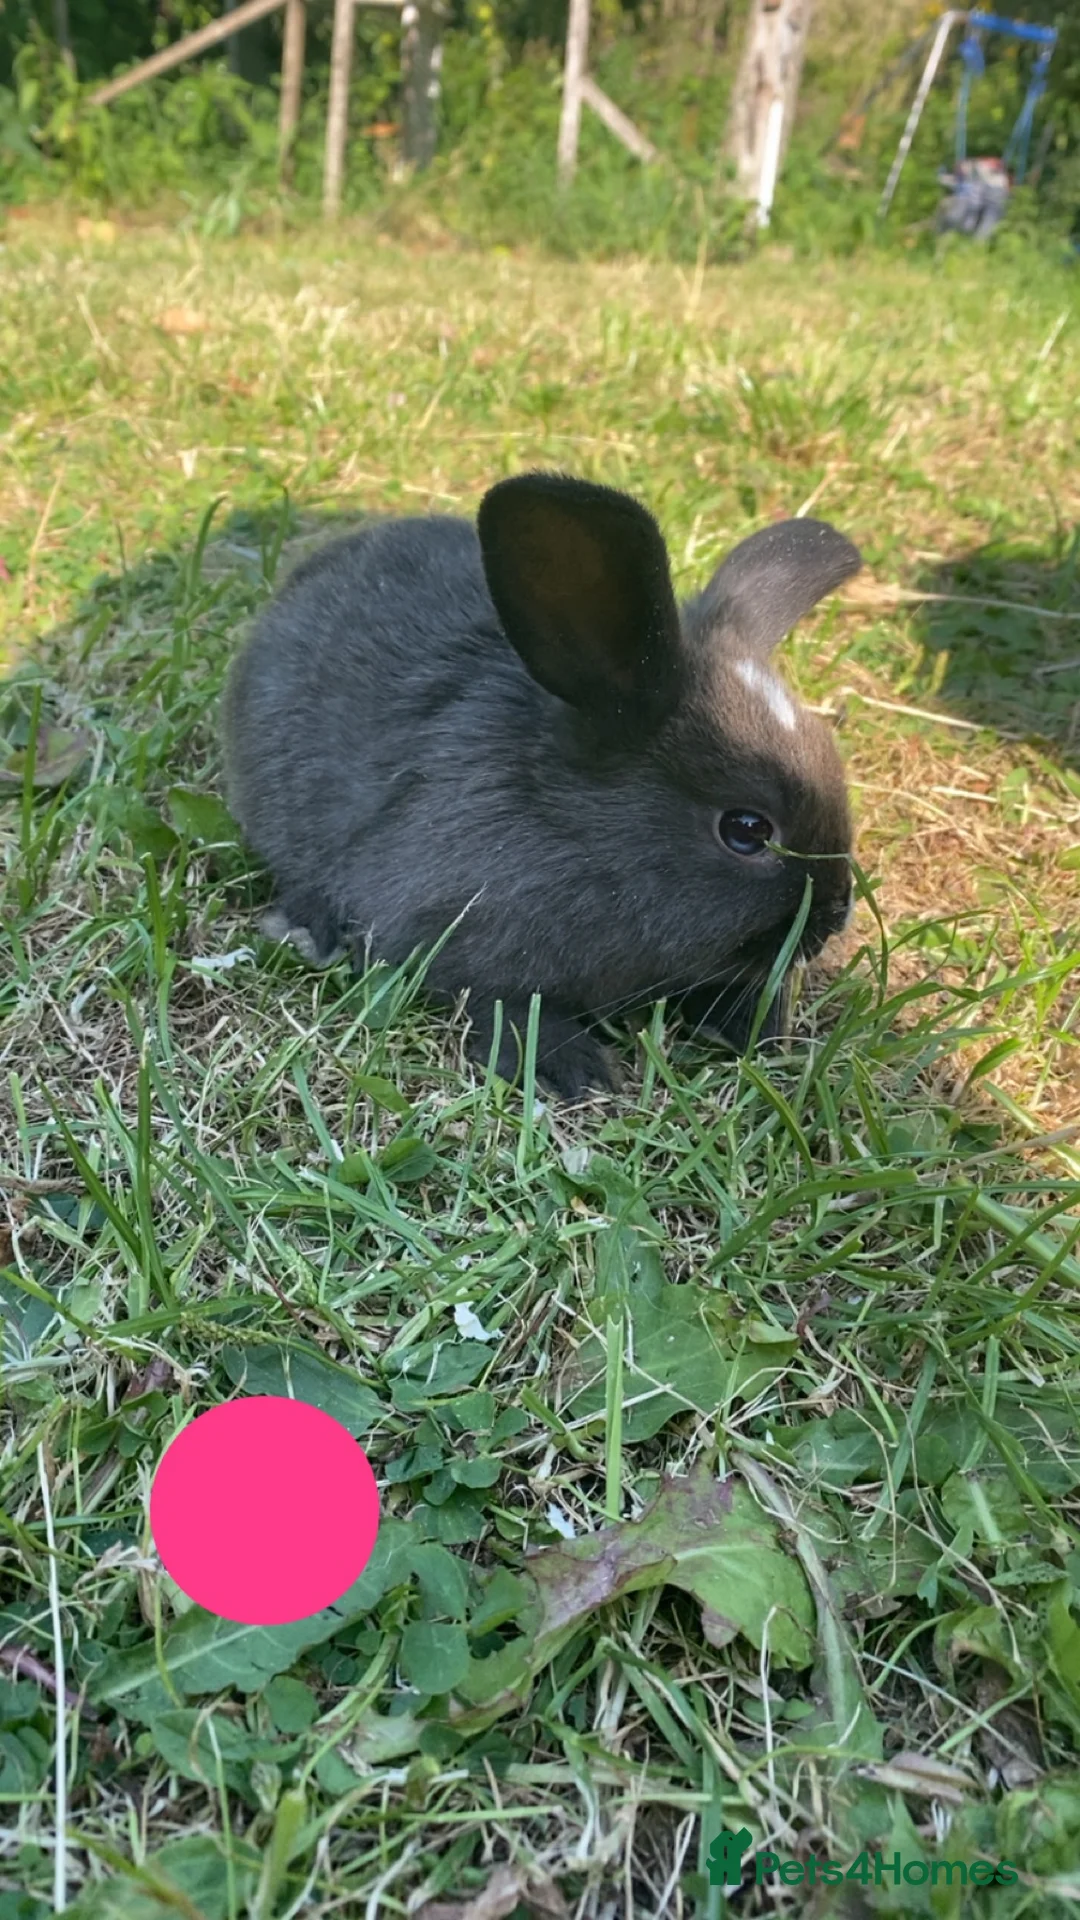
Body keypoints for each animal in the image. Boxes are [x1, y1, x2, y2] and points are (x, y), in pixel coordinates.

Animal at [221, 473, 861, 1100]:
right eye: (747, 829)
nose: (832, 918)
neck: (584, 842)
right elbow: (499, 1004)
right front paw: (570, 1068)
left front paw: (755, 1028)